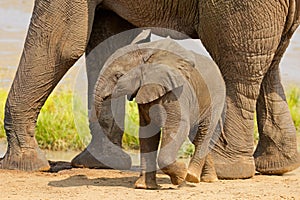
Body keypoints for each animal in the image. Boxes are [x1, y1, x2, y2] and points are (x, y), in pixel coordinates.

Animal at [94, 37, 225, 189]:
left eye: (118, 76)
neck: (146, 51)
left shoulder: (176, 92)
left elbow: (177, 126)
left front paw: (180, 176)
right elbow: (147, 133)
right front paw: (143, 186)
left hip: (216, 97)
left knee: (203, 132)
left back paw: (191, 176)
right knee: (197, 136)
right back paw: (207, 179)